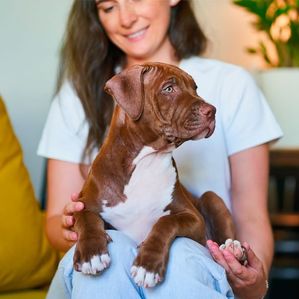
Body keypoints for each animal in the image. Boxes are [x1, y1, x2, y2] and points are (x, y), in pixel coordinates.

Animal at [72, 62, 246, 288]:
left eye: (195, 88)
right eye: (168, 89)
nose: (212, 111)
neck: (147, 160)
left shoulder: (194, 219)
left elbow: (165, 222)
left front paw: (147, 265)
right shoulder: (83, 203)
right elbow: (86, 218)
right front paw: (91, 254)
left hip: (211, 198)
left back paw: (234, 249)